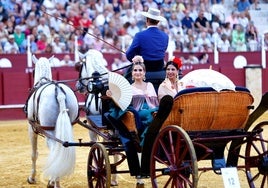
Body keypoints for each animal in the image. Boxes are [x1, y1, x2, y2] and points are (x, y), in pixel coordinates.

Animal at [25, 55, 79, 187]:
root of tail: (59, 93)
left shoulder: (32, 129)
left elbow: (34, 154)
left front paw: (31, 178)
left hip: (49, 131)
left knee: (55, 149)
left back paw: (55, 182)